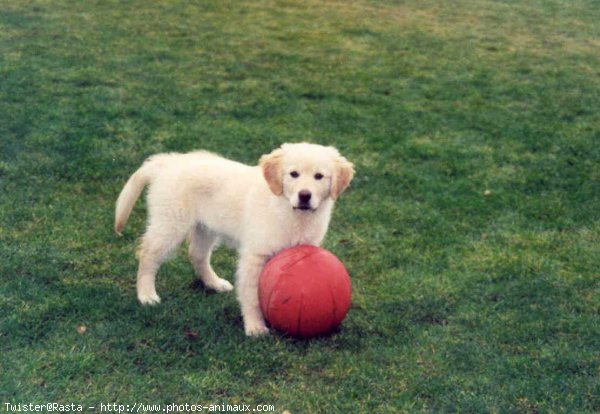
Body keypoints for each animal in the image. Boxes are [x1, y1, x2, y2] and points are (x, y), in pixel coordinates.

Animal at [115, 142, 354, 336]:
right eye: (293, 174)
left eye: (319, 176)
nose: (305, 196)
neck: (290, 210)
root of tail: (168, 162)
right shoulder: (254, 255)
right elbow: (251, 295)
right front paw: (255, 327)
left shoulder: (308, 245)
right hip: (171, 222)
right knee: (148, 253)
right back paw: (146, 295)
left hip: (206, 226)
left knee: (196, 254)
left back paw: (214, 283)